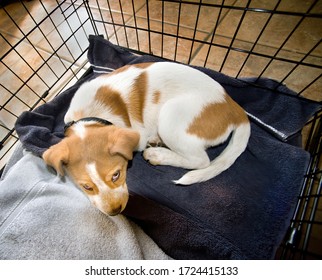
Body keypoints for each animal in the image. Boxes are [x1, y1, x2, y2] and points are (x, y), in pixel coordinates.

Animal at [42, 62, 250, 215]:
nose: (115, 211)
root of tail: (234, 107)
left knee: (200, 160)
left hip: (170, 115)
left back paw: (158, 154)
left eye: (116, 175)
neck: (91, 115)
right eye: (87, 187)